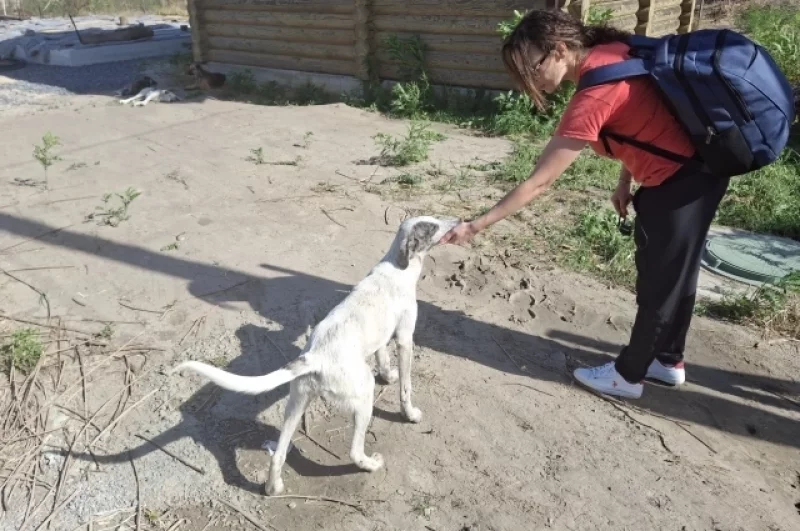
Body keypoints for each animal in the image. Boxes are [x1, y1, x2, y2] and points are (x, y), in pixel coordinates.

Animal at [173, 215, 460, 494]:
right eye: (432, 226)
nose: (458, 222)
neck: (398, 266)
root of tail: (315, 357)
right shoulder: (404, 338)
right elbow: (406, 387)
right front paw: (409, 414)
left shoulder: (383, 336)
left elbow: (382, 356)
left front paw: (388, 376)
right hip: (362, 394)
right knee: (354, 451)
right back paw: (370, 464)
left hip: (296, 402)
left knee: (278, 454)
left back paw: (273, 488)